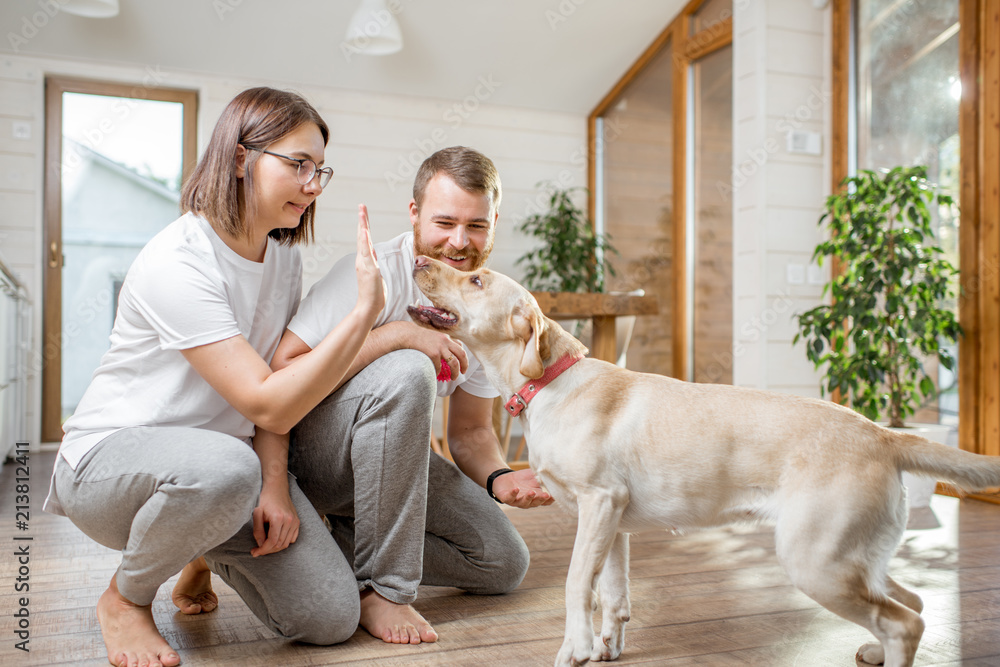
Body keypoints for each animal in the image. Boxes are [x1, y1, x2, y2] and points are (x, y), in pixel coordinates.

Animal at [408, 254, 1000, 667]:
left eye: (477, 279)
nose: (417, 261)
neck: (549, 383)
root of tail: (881, 434)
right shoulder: (613, 523)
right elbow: (613, 594)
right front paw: (605, 647)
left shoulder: (599, 504)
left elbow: (579, 584)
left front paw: (574, 647)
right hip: (852, 558)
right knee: (912, 602)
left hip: (816, 560)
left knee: (902, 621)